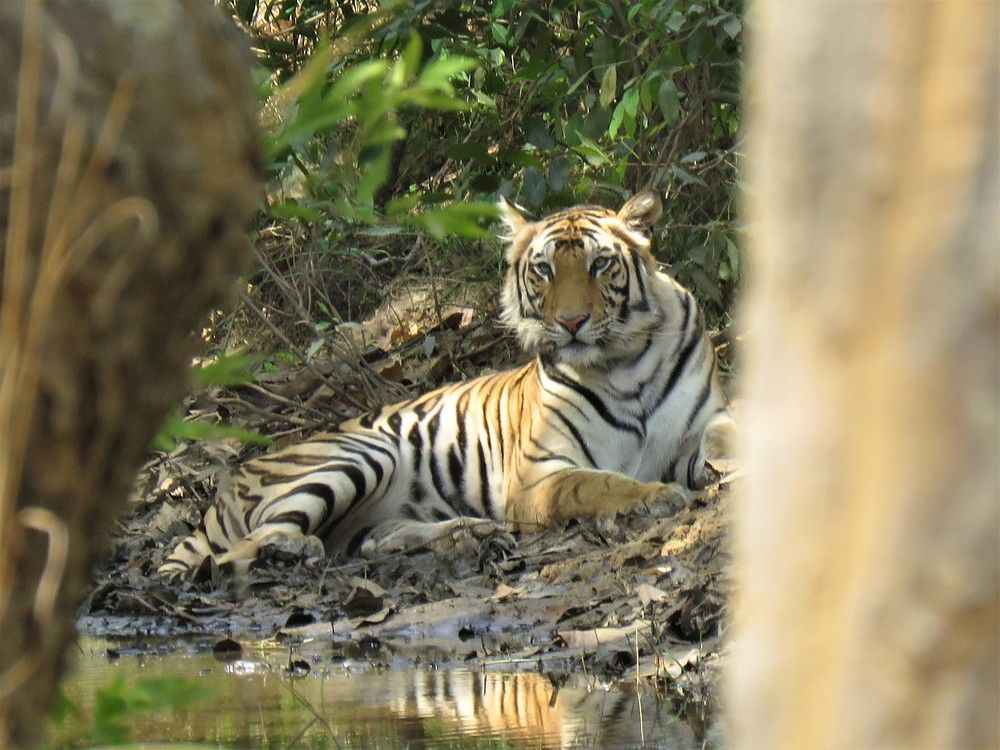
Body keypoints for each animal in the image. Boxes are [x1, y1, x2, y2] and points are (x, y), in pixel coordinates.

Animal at [158, 191, 735, 580]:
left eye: (600, 264)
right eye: (544, 271)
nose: (570, 322)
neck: (623, 362)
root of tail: (223, 489)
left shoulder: (702, 424)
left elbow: (728, 433)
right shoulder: (538, 473)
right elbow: (597, 484)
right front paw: (658, 496)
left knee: (369, 541)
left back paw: (467, 533)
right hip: (357, 456)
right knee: (247, 546)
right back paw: (294, 550)